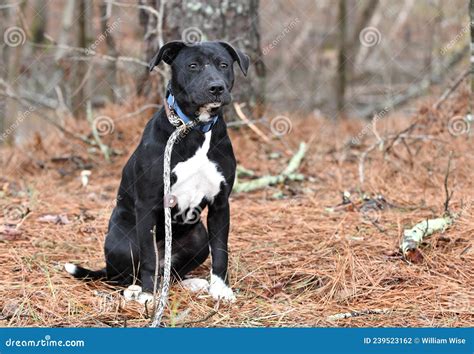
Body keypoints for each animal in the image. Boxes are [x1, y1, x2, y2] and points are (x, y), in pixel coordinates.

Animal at [66, 40, 252, 302]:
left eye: (223, 65)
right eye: (193, 65)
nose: (216, 87)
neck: (193, 128)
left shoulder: (220, 204)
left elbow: (220, 251)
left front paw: (221, 289)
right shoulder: (148, 206)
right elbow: (148, 258)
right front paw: (148, 294)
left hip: (198, 237)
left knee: (170, 271)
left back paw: (188, 282)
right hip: (124, 241)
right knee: (122, 275)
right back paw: (134, 289)